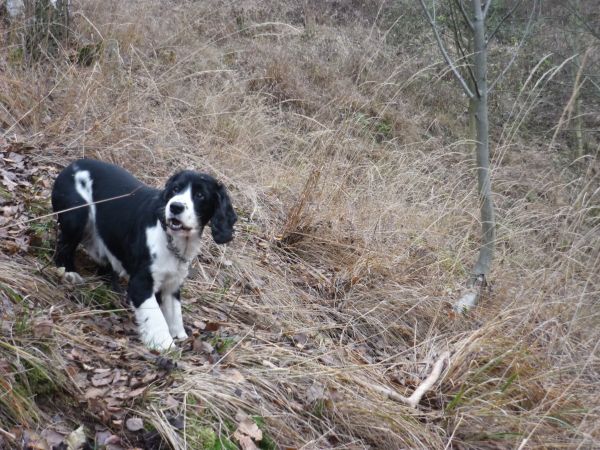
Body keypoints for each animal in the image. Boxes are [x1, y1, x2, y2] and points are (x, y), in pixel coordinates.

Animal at [51, 158, 237, 352]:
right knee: (64, 245)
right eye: (175, 189)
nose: (175, 206)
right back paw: (68, 272)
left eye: (200, 195)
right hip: (76, 216)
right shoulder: (141, 283)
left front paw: (181, 337)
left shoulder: (172, 282)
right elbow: (156, 317)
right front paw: (165, 345)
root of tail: (73, 164)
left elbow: (175, 312)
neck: (172, 239)